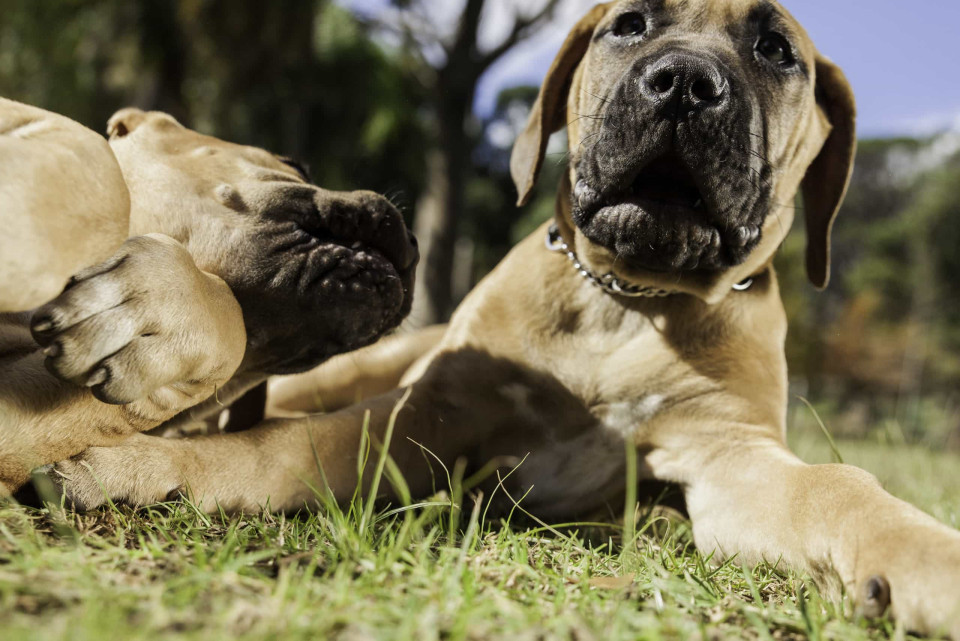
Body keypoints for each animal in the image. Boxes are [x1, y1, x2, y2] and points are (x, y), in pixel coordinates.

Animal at [48, 2, 960, 636]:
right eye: (628, 25)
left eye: (776, 50)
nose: (685, 83)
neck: (624, 301)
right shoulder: (425, 415)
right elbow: (278, 448)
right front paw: (140, 464)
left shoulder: (728, 455)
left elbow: (838, 485)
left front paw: (927, 557)